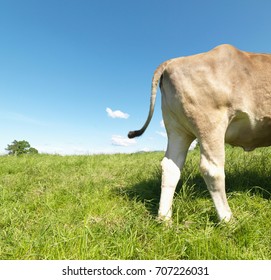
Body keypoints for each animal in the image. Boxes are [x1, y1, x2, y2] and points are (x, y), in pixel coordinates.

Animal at [129, 44, 271, 223]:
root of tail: (172, 61)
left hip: (177, 129)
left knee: (170, 167)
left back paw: (165, 218)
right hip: (210, 122)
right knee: (212, 169)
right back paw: (227, 219)